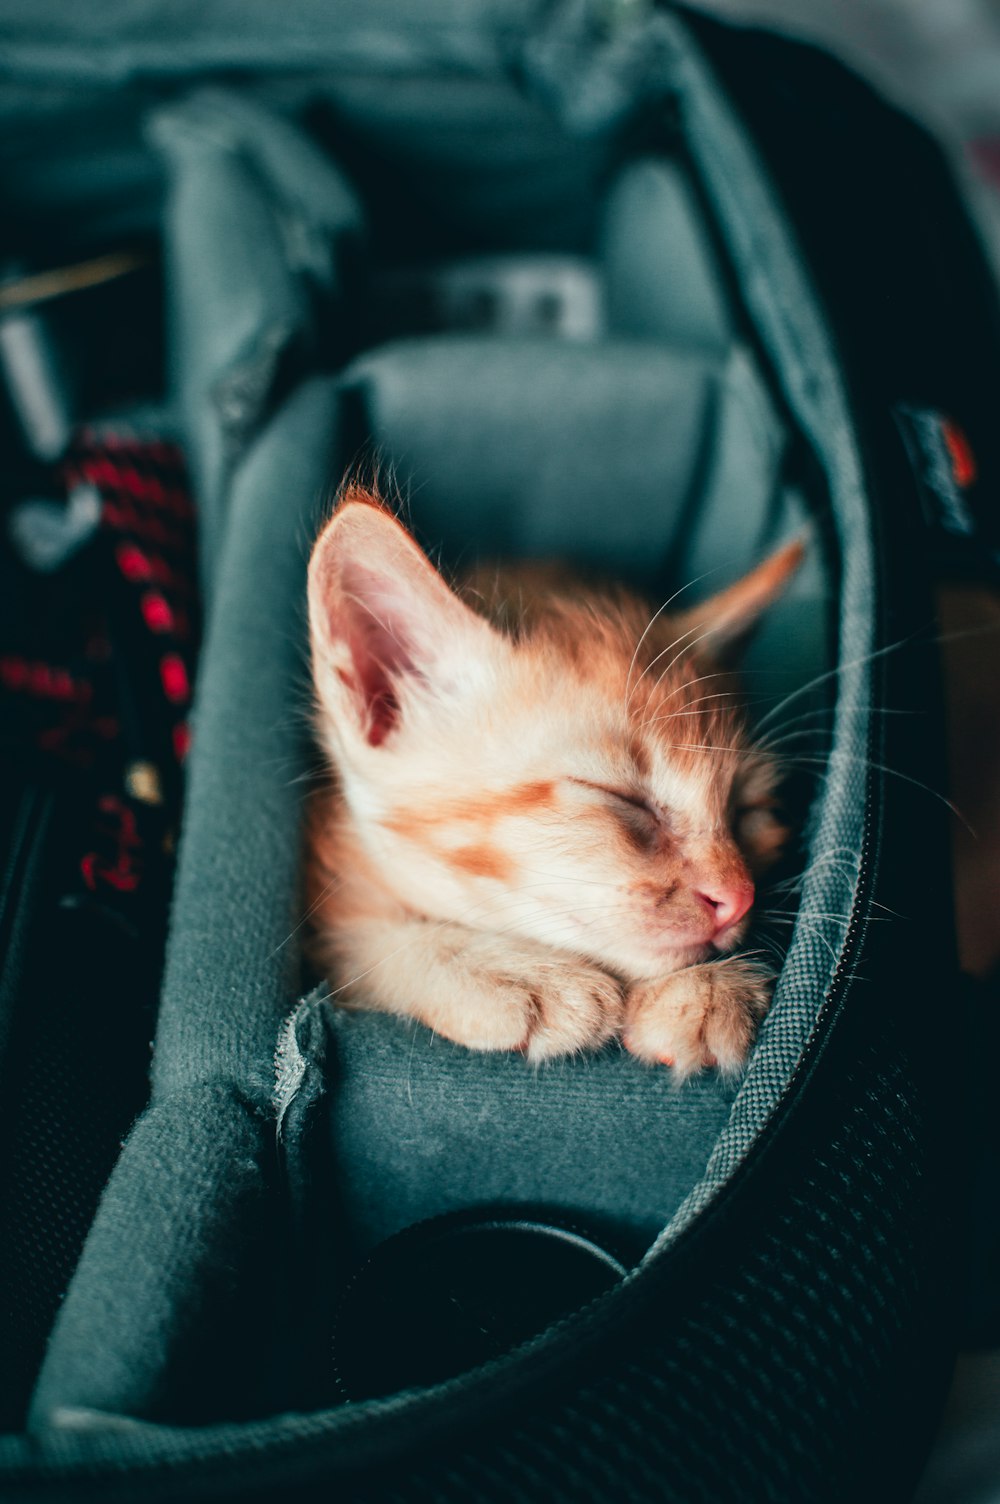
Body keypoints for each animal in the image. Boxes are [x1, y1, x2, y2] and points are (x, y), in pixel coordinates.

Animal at [303, 487, 806, 1076]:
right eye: (620, 798)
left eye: (747, 810)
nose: (738, 898)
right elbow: (354, 937)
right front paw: (502, 969)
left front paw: (706, 987)